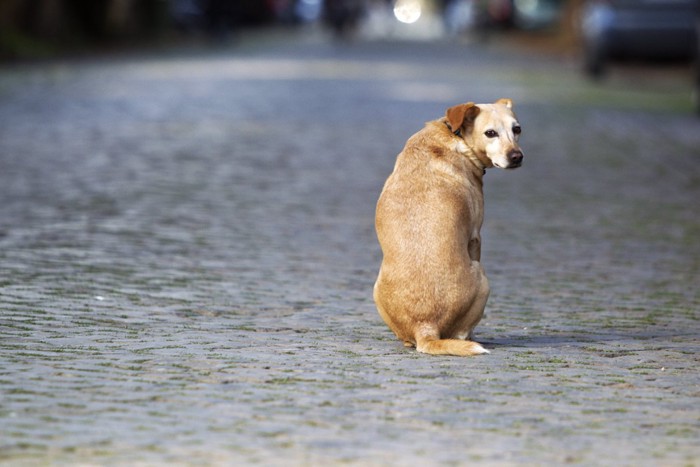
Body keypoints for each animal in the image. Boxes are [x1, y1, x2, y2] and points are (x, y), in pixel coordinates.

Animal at [374, 98, 524, 354]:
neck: (455, 135)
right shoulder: (475, 237)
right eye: (490, 133)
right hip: (482, 277)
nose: (517, 156)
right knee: (461, 333)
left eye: (517, 129)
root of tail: (425, 327)